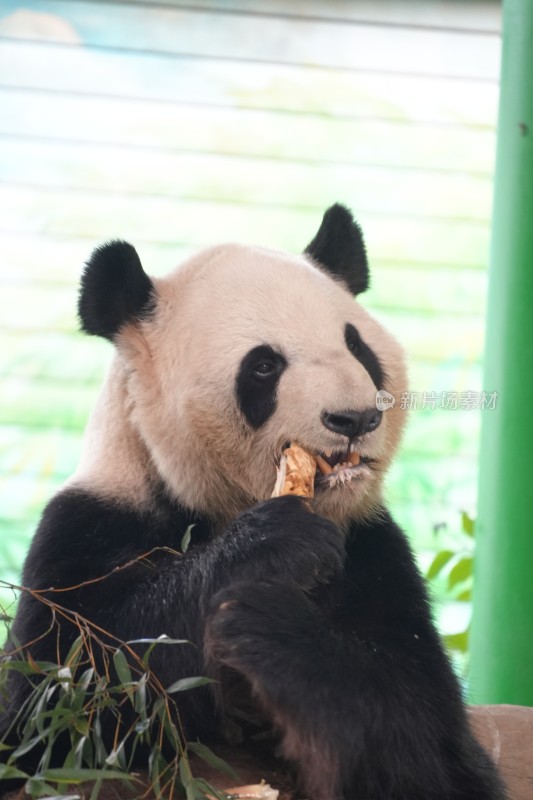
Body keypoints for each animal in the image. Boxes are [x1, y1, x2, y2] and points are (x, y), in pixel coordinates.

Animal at [1, 206, 508, 800]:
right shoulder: (87, 528)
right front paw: (274, 545)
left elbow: (428, 744)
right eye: (264, 366)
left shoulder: (373, 551)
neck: (220, 503)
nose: (356, 418)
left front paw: (273, 626)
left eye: (357, 348)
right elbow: (65, 694)